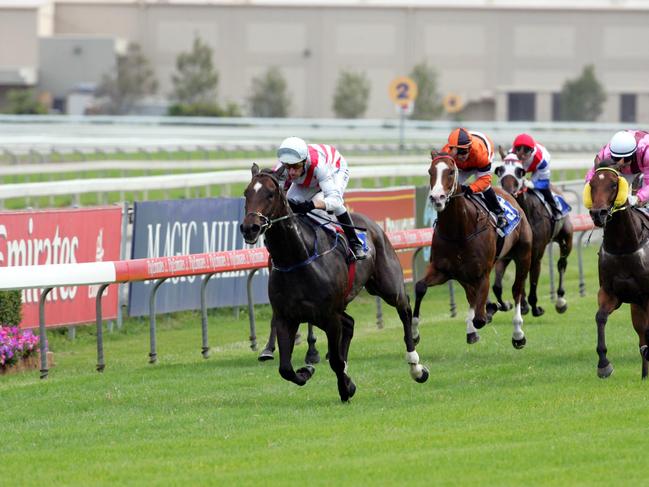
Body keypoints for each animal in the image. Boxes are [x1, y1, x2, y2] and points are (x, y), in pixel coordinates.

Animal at [240, 166, 428, 402]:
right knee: (350, 323)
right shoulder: (286, 317)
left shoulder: (329, 317)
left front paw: (345, 388)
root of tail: (372, 225)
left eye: (270, 194)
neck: (297, 258)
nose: (250, 228)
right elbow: (286, 369)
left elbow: (336, 362)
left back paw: (416, 364)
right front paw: (308, 371)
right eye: (246, 193)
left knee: (404, 309)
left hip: (387, 286)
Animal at [410, 152, 532, 346]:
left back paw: (518, 334)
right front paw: (414, 334)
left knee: (516, 289)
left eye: (451, 172)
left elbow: (480, 318)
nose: (437, 198)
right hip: (464, 275)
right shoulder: (443, 270)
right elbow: (420, 287)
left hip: (523, 255)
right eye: (430, 171)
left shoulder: (482, 273)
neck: (459, 230)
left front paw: (491, 310)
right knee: (471, 295)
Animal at [496, 149, 572, 316]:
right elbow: (499, 285)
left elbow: (533, 280)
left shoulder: (536, 254)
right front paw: (519, 305)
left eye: (519, 171)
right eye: (500, 170)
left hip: (566, 239)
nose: (508, 192)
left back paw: (560, 301)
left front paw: (535, 307)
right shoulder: (509, 255)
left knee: (562, 263)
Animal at [584, 162, 648, 380]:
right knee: (642, 336)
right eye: (592, 184)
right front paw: (603, 364)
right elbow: (600, 317)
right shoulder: (610, 293)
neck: (623, 247)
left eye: (613, 184)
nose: (598, 213)